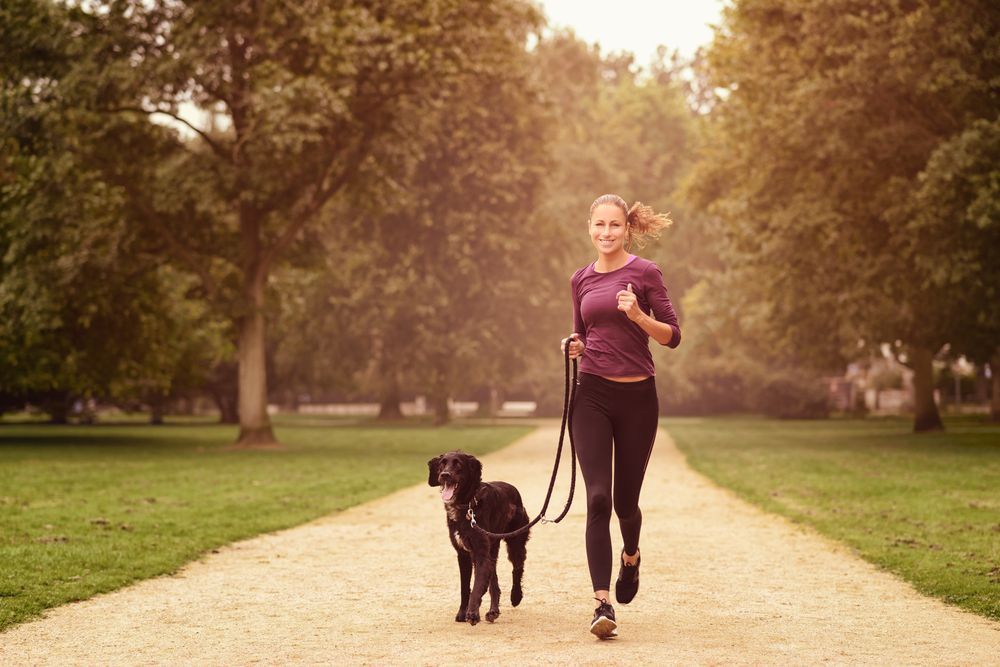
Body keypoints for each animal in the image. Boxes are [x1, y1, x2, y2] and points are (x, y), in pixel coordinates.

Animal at [426, 448, 532, 628]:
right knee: (494, 581)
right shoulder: (463, 554)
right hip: (493, 548)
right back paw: (493, 611)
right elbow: (466, 587)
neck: (467, 506)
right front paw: (463, 613)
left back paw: (515, 596)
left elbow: (477, 585)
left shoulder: (480, 553)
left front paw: (473, 613)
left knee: (517, 568)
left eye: (458, 464)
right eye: (442, 463)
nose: (445, 475)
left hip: (515, 542)